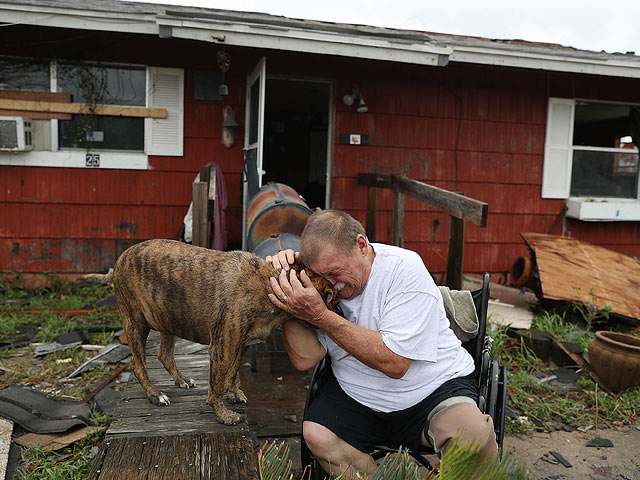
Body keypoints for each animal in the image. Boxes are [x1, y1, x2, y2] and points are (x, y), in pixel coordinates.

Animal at [80, 239, 338, 424]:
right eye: (333, 299)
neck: (271, 282)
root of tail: (118, 263)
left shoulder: (241, 344)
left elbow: (233, 372)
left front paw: (233, 393)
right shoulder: (222, 348)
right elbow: (216, 383)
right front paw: (223, 414)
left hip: (167, 317)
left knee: (164, 355)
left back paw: (182, 380)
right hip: (136, 324)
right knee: (139, 366)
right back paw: (155, 394)